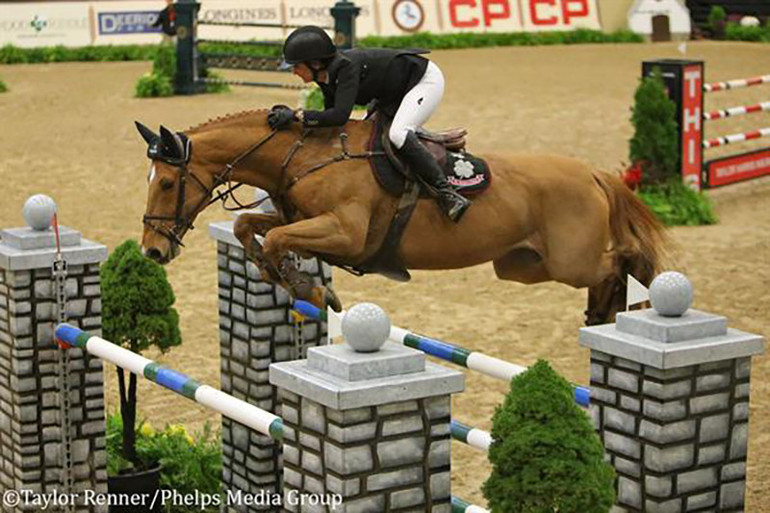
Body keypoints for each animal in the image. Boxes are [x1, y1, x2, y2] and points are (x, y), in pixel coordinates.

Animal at [135, 110, 664, 324]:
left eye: (167, 183)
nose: (152, 251)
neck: (305, 156)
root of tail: (591, 172)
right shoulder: (300, 219)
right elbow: (253, 229)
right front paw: (288, 279)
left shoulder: (346, 234)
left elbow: (280, 239)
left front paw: (311, 289)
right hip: (522, 265)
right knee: (606, 269)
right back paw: (601, 313)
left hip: (569, 261)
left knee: (623, 258)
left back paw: (633, 299)